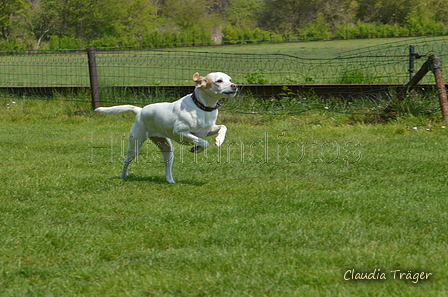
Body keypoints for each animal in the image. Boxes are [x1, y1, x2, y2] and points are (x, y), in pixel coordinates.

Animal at [95, 72, 238, 183]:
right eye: (219, 80)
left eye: (230, 79)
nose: (235, 86)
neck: (202, 108)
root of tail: (140, 111)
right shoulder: (181, 132)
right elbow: (204, 142)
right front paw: (197, 148)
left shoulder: (207, 130)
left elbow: (222, 127)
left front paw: (218, 140)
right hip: (135, 145)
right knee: (126, 160)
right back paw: (123, 175)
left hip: (167, 149)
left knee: (167, 166)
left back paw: (170, 180)